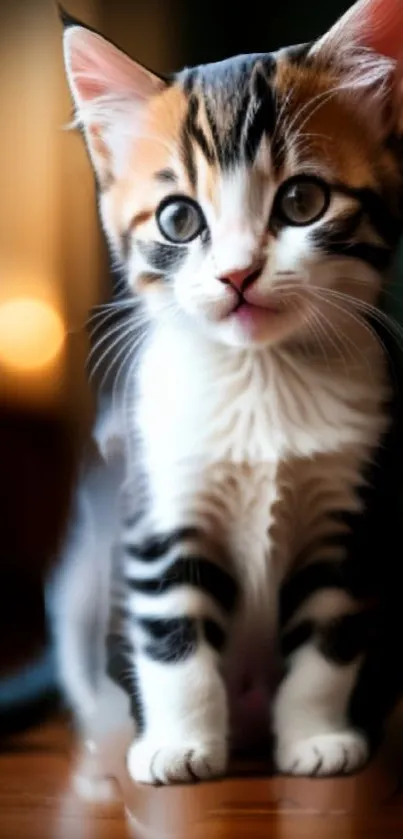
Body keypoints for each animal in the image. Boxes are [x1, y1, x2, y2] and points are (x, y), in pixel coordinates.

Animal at [54, 0, 403, 784]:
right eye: (179, 218)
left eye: (301, 201)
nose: (238, 274)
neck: (260, 378)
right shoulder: (159, 505)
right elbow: (173, 642)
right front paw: (179, 744)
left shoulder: (347, 519)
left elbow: (325, 642)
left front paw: (316, 736)